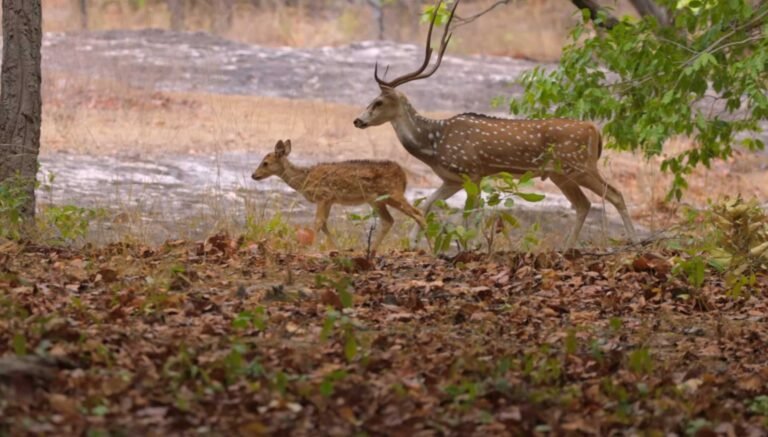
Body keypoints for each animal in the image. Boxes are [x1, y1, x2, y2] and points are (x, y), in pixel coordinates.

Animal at [251, 139, 427, 252]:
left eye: (265, 163)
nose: (253, 175)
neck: (304, 180)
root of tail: (404, 177)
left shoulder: (323, 196)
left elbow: (317, 222)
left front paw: (310, 249)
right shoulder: (329, 200)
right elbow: (324, 224)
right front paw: (338, 249)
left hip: (393, 193)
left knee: (418, 213)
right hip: (377, 200)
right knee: (389, 220)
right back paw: (372, 251)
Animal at [353, 0, 636, 248]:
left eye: (378, 101)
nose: (358, 120)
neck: (434, 145)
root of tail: (595, 130)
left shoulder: (472, 171)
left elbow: (472, 213)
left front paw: (472, 245)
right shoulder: (452, 179)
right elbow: (428, 204)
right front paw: (414, 242)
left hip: (578, 165)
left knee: (614, 194)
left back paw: (633, 240)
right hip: (560, 173)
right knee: (584, 204)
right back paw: (567, 247)